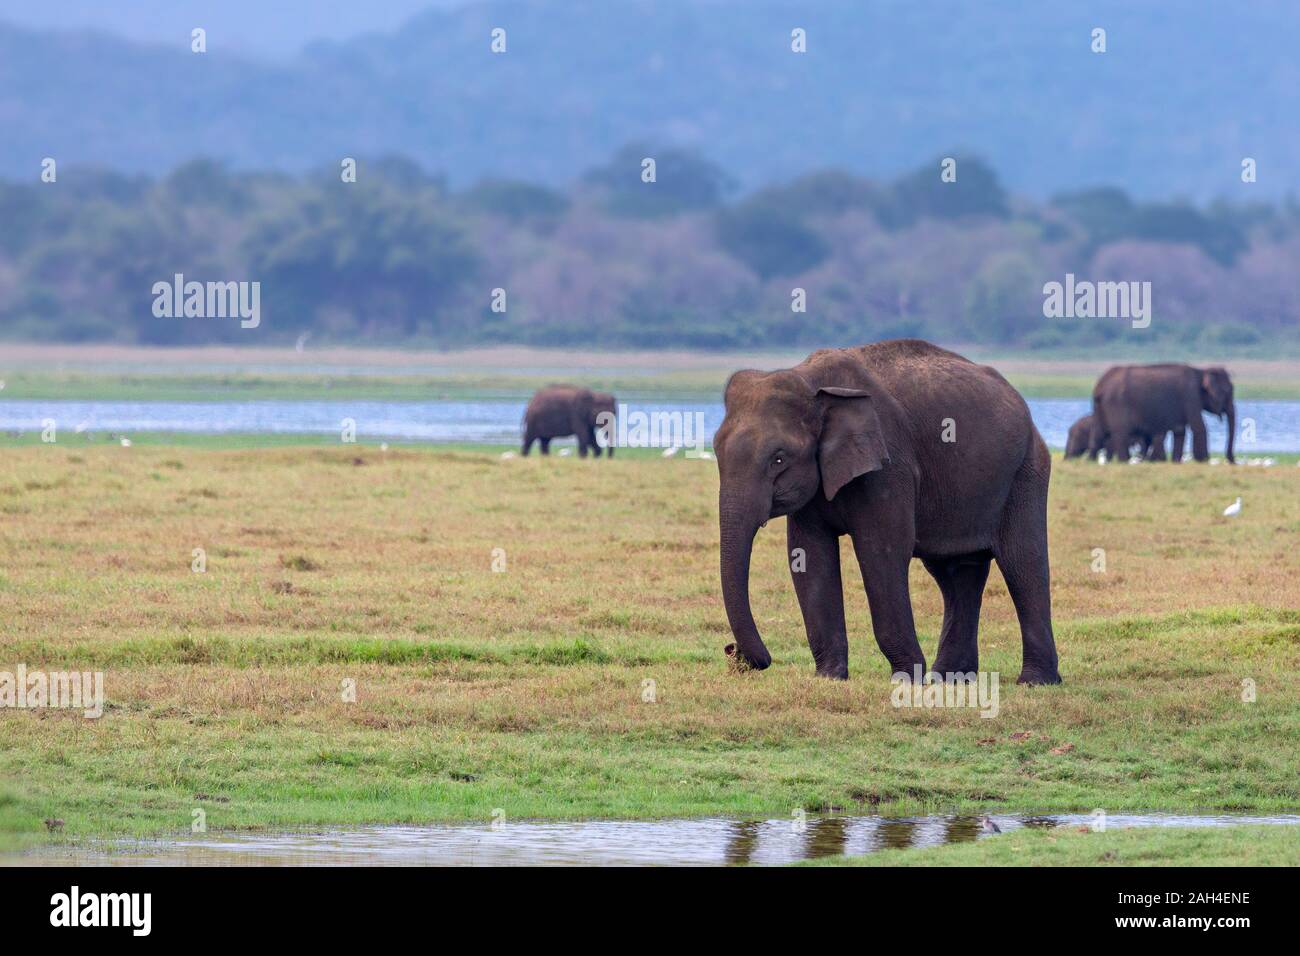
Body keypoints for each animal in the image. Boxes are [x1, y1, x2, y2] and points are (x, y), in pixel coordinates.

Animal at [717, 340, 1060, 686]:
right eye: (716, 451)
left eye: (778, 459)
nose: (735, 653)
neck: (810, 379)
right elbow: (809, 555)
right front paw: (830, 677)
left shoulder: (890, 467)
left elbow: (882, 552)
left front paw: (907, 679)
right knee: (956, 573)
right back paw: (950, 679)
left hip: (1025, 471)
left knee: (1022, 564)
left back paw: (1035, 681)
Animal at [1092, 361, 1232, 463]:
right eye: (1227, 392)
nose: (1232, 460)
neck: (1201, 371)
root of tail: (1100, 386)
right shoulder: (1191, 396)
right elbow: (1199, 426)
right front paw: (1203, 461)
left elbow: (1180, 430)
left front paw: (1176, 461)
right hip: (1116, 404)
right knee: (1120, 435)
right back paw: (1124, 461)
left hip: (1100, 407)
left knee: (1101, 433)